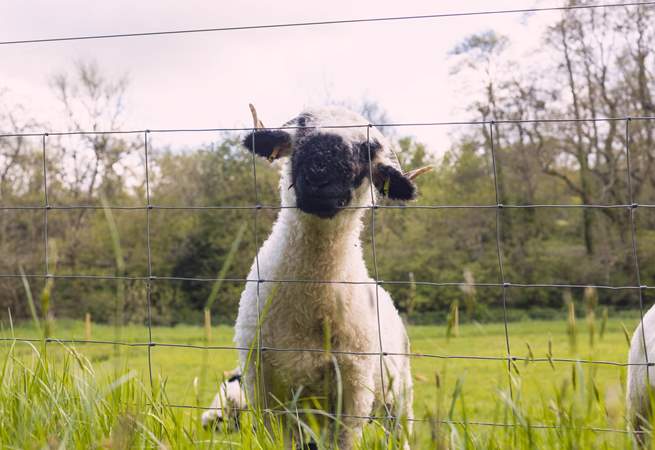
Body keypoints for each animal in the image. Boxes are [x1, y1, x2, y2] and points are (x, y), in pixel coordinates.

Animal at [205, 105, 428, 449]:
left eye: (367, 150)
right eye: (300, 131)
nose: (319, 174)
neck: (310, 295)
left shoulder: (353, 389)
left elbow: (345, 440)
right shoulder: (264, 388)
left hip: (397, 394)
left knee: (399, 431)